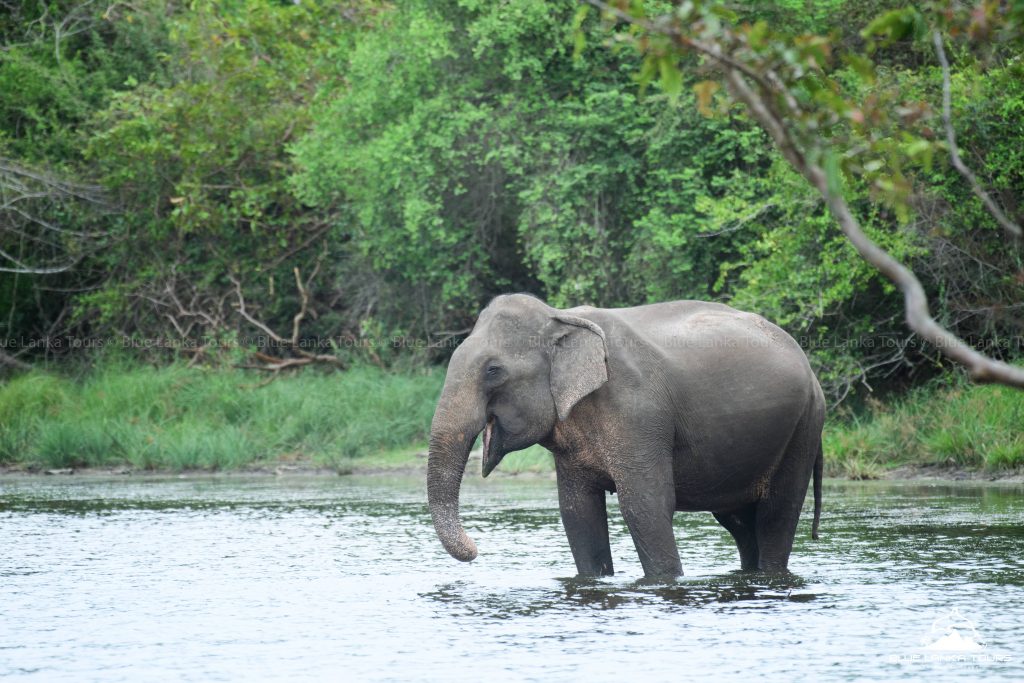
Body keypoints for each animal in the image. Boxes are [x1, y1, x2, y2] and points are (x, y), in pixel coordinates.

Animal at [423, 294, 823, 577]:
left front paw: (665, 580)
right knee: (739, 522)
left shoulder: (638, 415)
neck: (560, 317)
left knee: (777, 514)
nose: (476, 548)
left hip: (803, 428)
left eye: (493, 371)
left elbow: (644, 506)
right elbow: (578, 512)